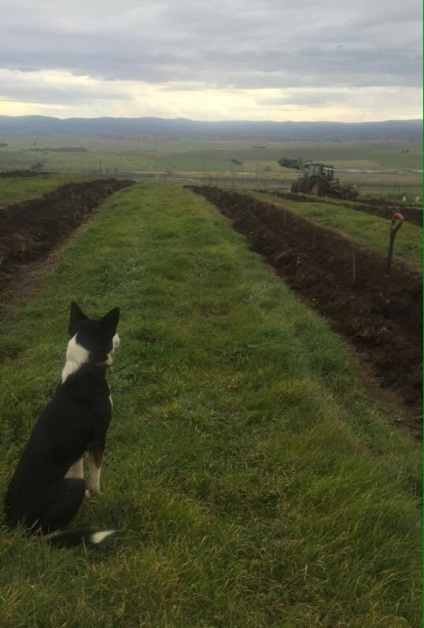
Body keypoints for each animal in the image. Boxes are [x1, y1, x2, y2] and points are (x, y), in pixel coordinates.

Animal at [4, 302, 121, 548]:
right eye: (111, 331)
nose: (119, 336)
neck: (84, 367)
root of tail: (15, 526)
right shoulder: (98, 440)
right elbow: (95, 475)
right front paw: (98, 496)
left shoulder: (78, 450)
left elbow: (79, 469)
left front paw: (89, 497)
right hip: (66, 495)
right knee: (46, 534)